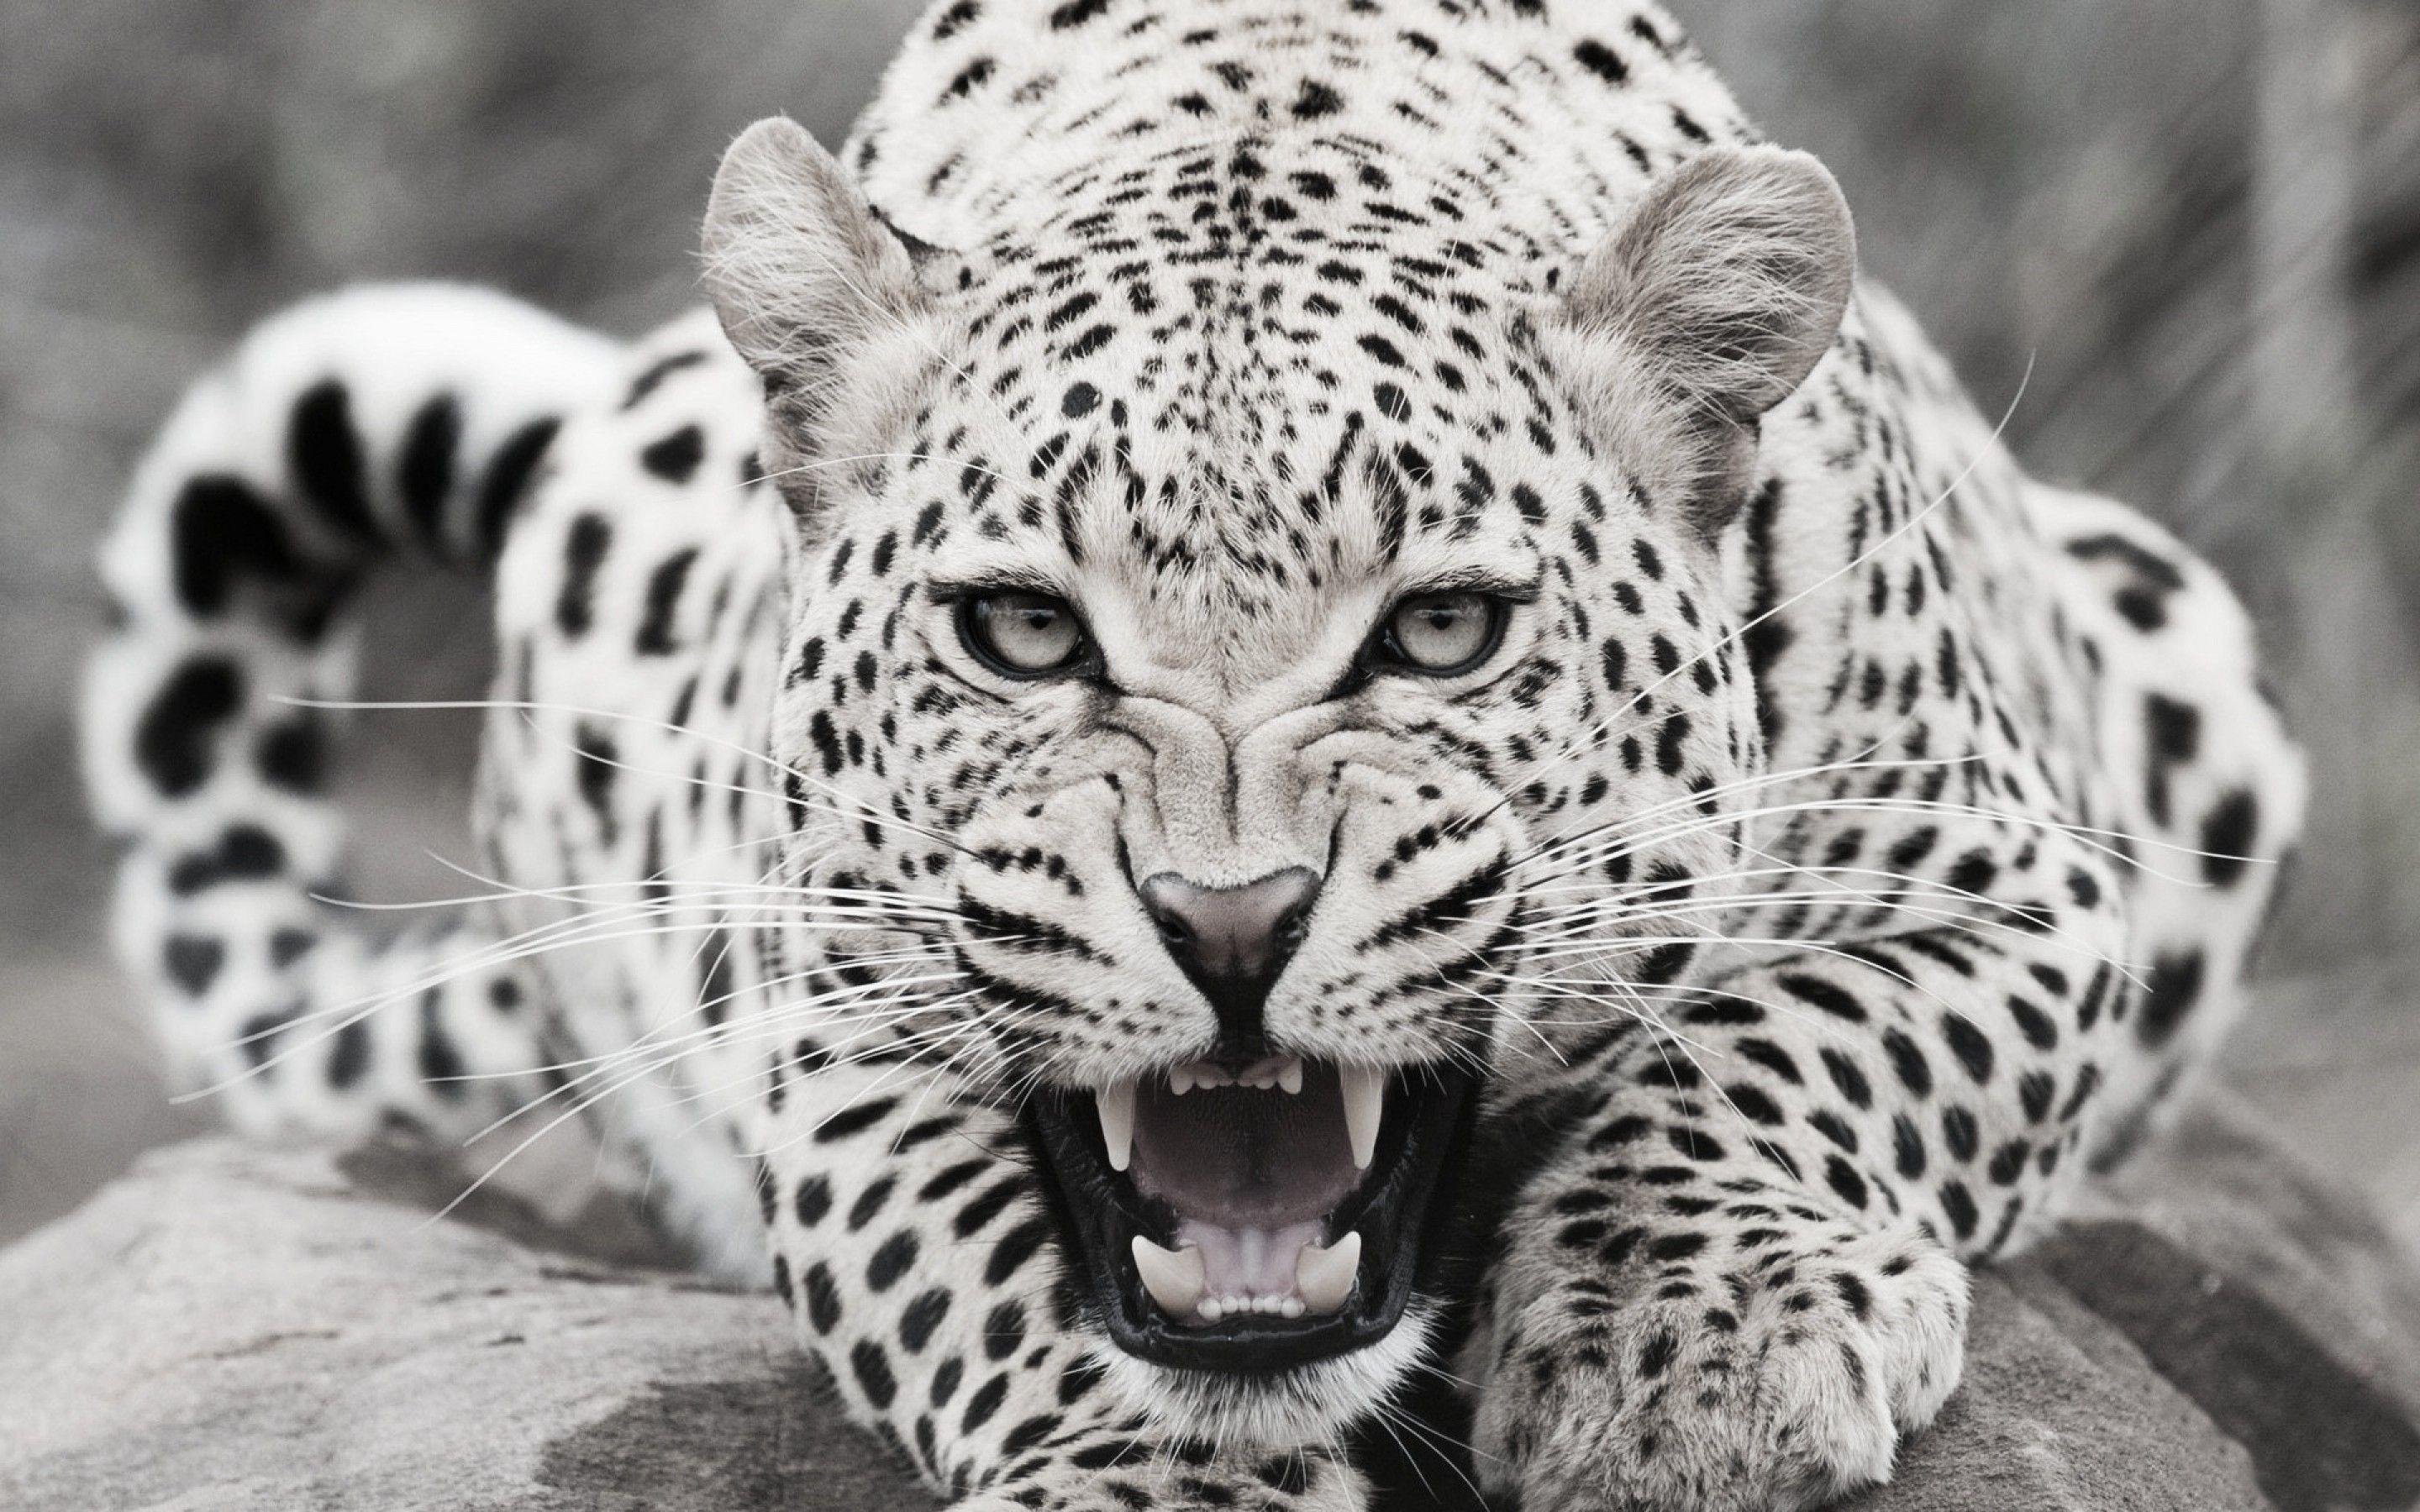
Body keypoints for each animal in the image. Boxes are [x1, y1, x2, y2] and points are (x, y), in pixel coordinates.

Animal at [82, 1, 2307, 1508]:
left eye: (1441, 631)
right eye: (1020, 631)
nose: (1231, 927)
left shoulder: (2017, 883)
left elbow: (1795, 1046)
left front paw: (1690, 1352)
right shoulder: (826, 1016)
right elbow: (983, 1263)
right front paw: (1149, 1479)